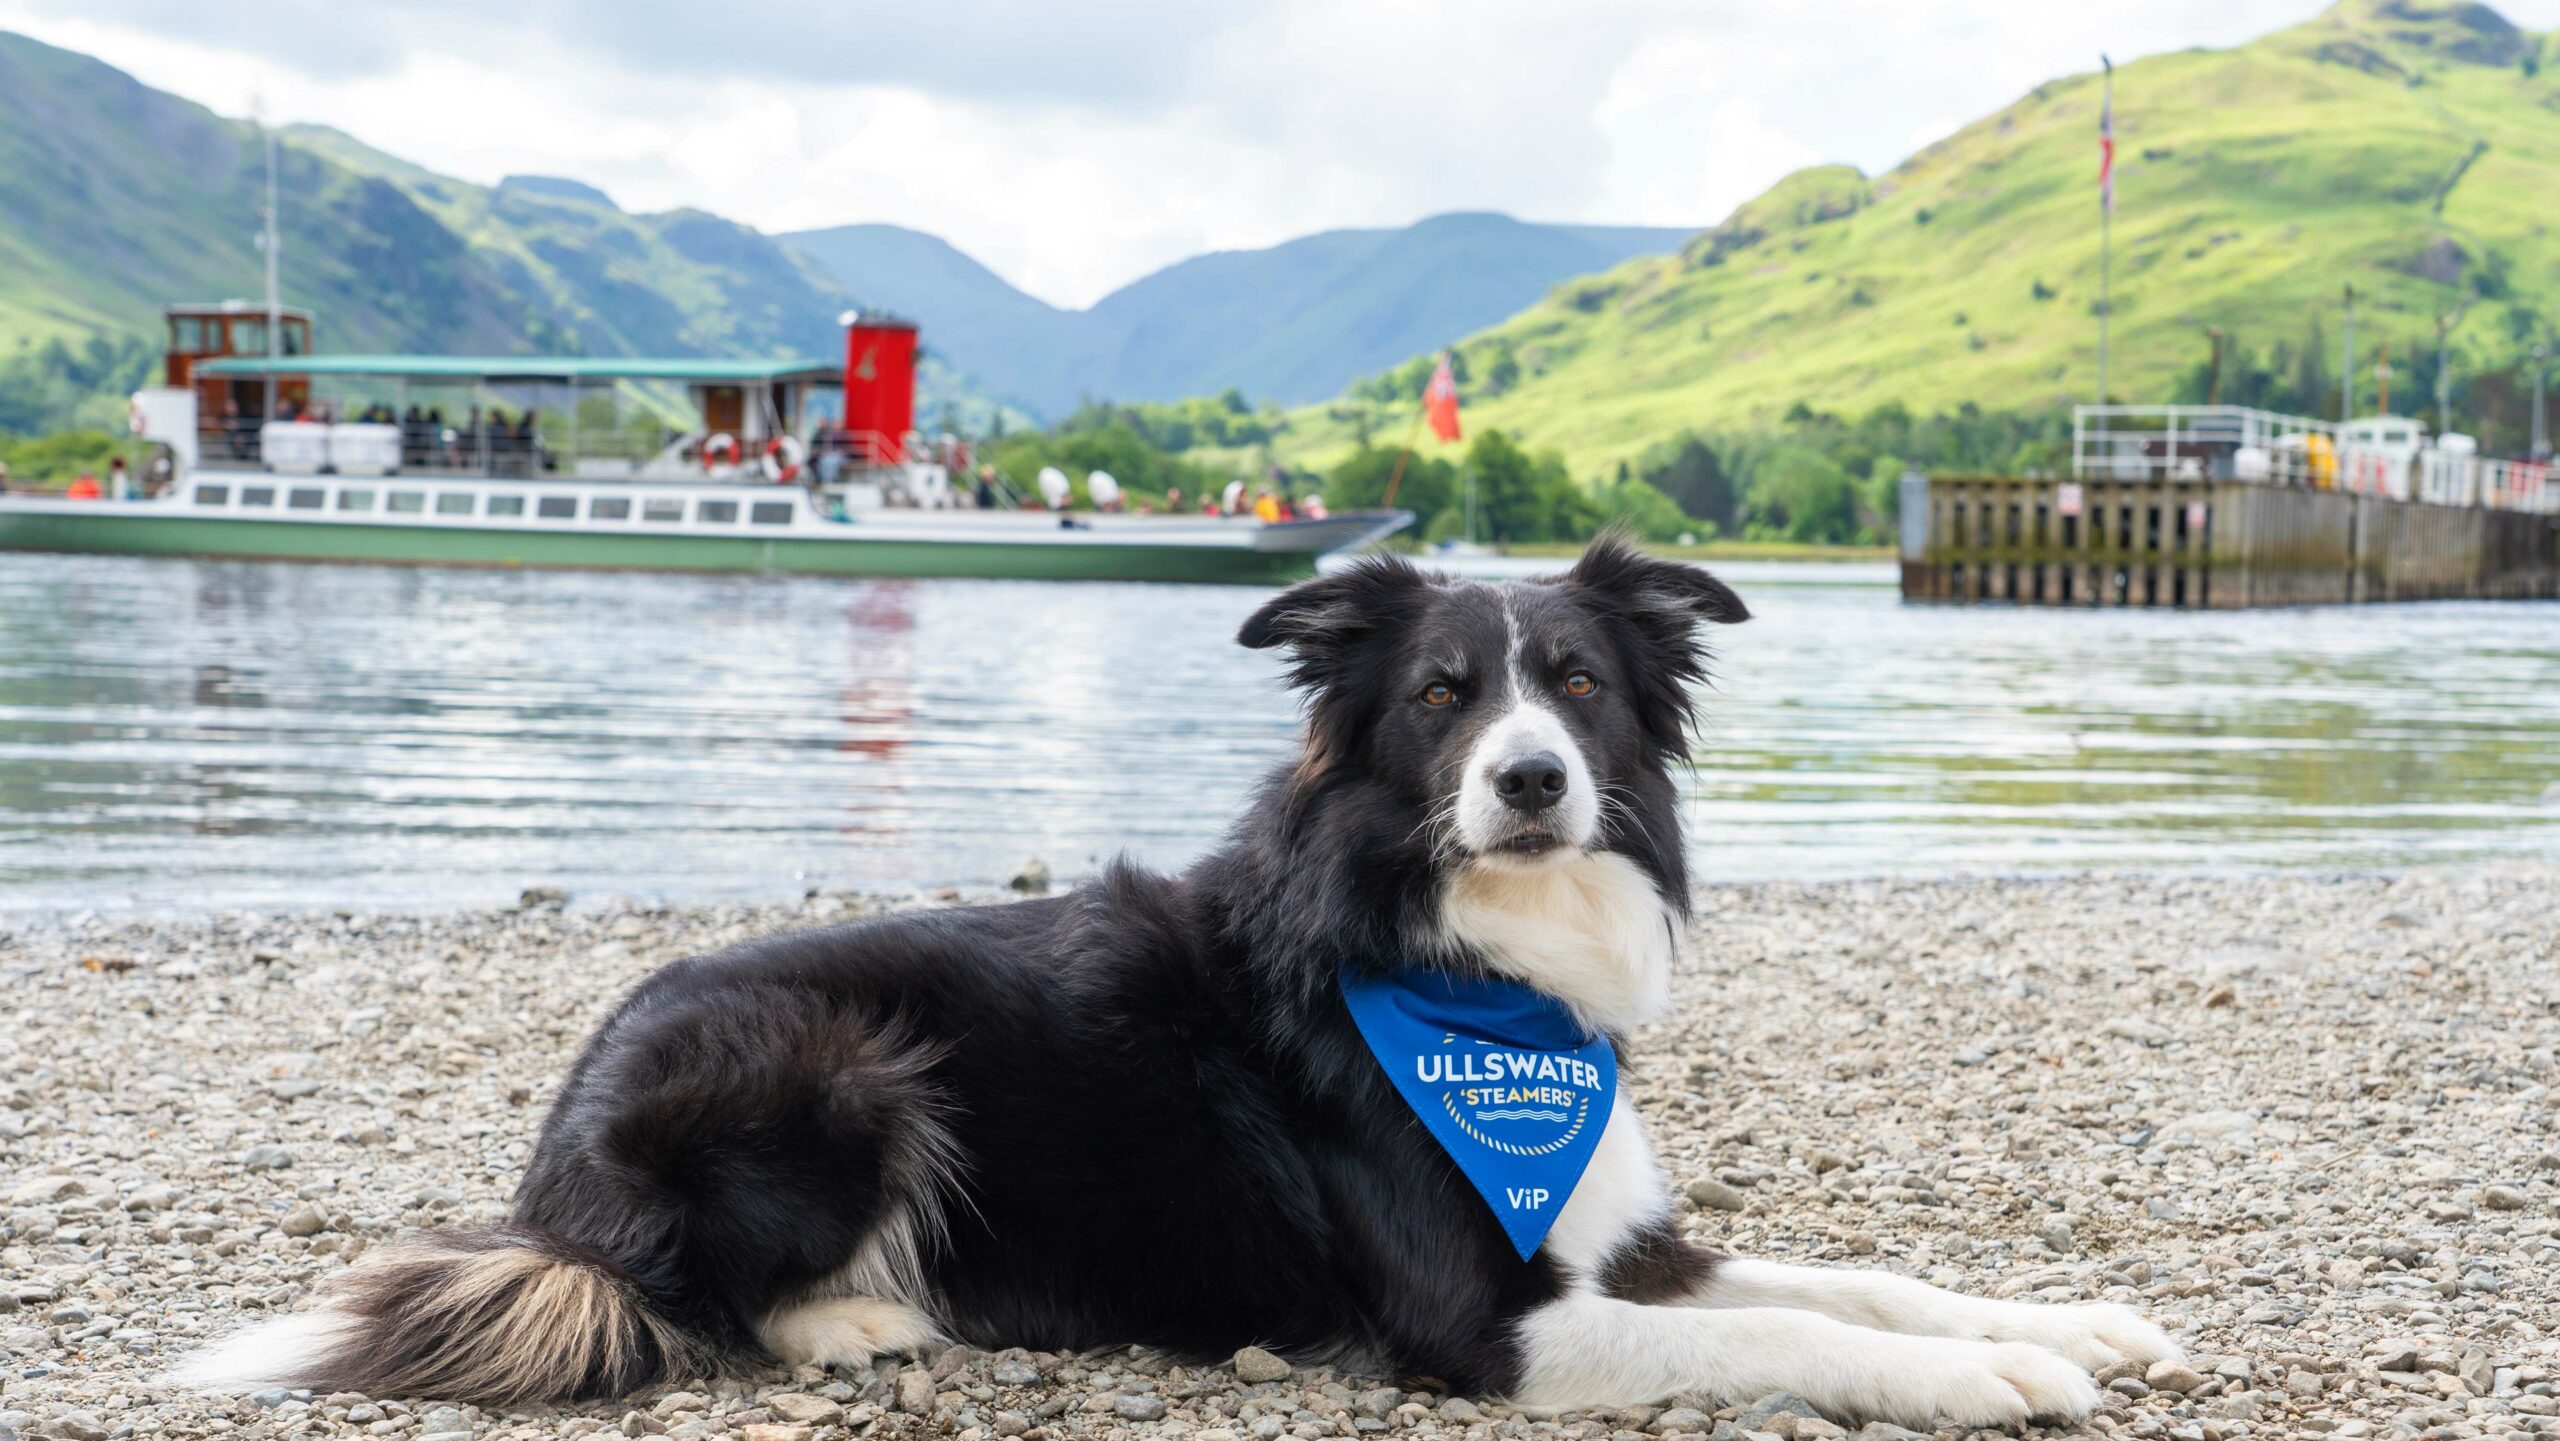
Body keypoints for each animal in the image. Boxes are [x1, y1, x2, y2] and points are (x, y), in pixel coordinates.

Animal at [185, 542, 2181, 1433]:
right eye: (1443, 695)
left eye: (1581, 688)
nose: (1534, 780)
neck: (1469, 962)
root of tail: (554, 1161)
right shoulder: (1484, 1322)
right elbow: (1790, 1330)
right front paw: (1992, 1382)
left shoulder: (1616, 1240)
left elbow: (1855, 1277)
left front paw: (2066, 1327)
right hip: (838, 1058)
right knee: (687, 1296)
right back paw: (858, 1320)